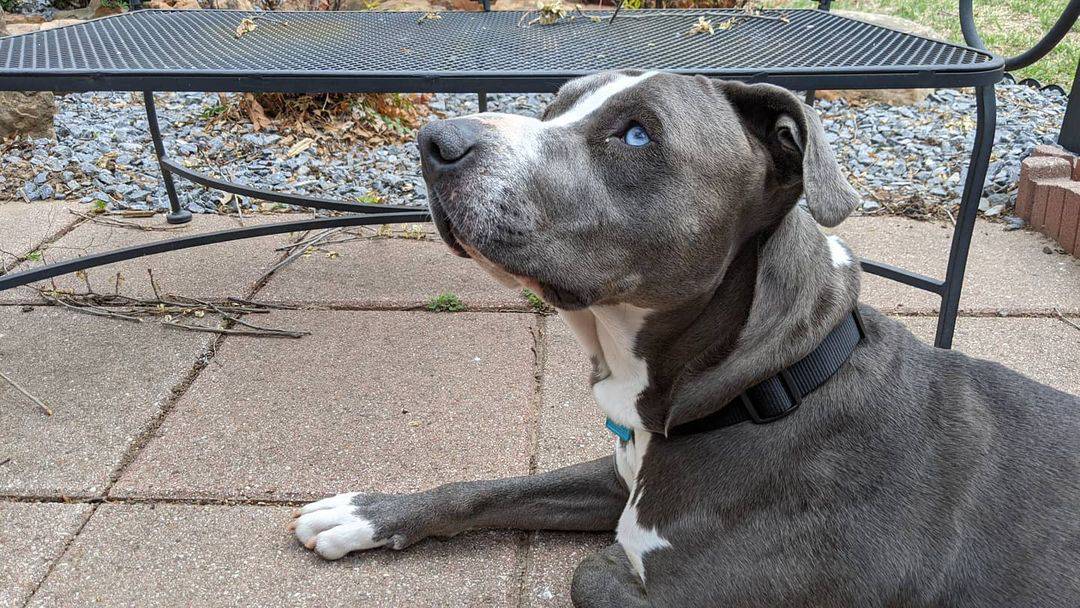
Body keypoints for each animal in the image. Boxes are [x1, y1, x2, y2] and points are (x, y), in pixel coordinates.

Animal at [291, 72, 1080, 608]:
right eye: (553, 107)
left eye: (637, 134)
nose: (436, 141)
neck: (769, 385)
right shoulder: (624, 473)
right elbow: (489, 488)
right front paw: (365, 515)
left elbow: (591, 573)